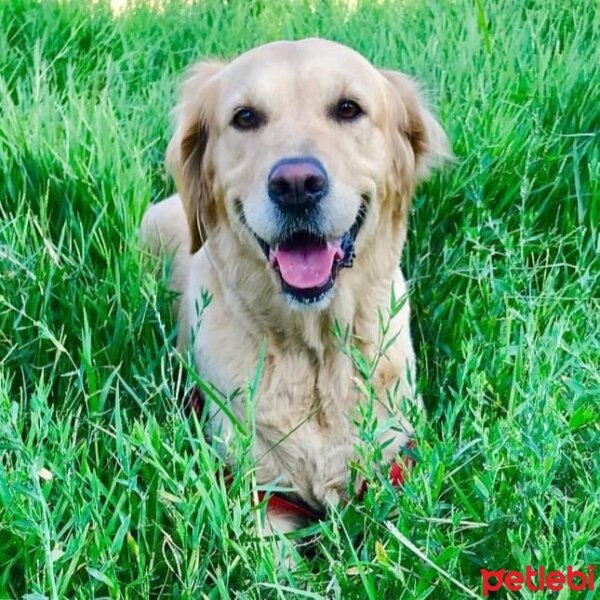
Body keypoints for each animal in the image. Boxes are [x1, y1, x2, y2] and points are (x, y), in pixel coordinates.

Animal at [142, 36, 450, 536]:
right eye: (245, 117)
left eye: (348, 109)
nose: (296, 184)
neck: (315, 354)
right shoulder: (261, 494)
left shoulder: (395, 469)